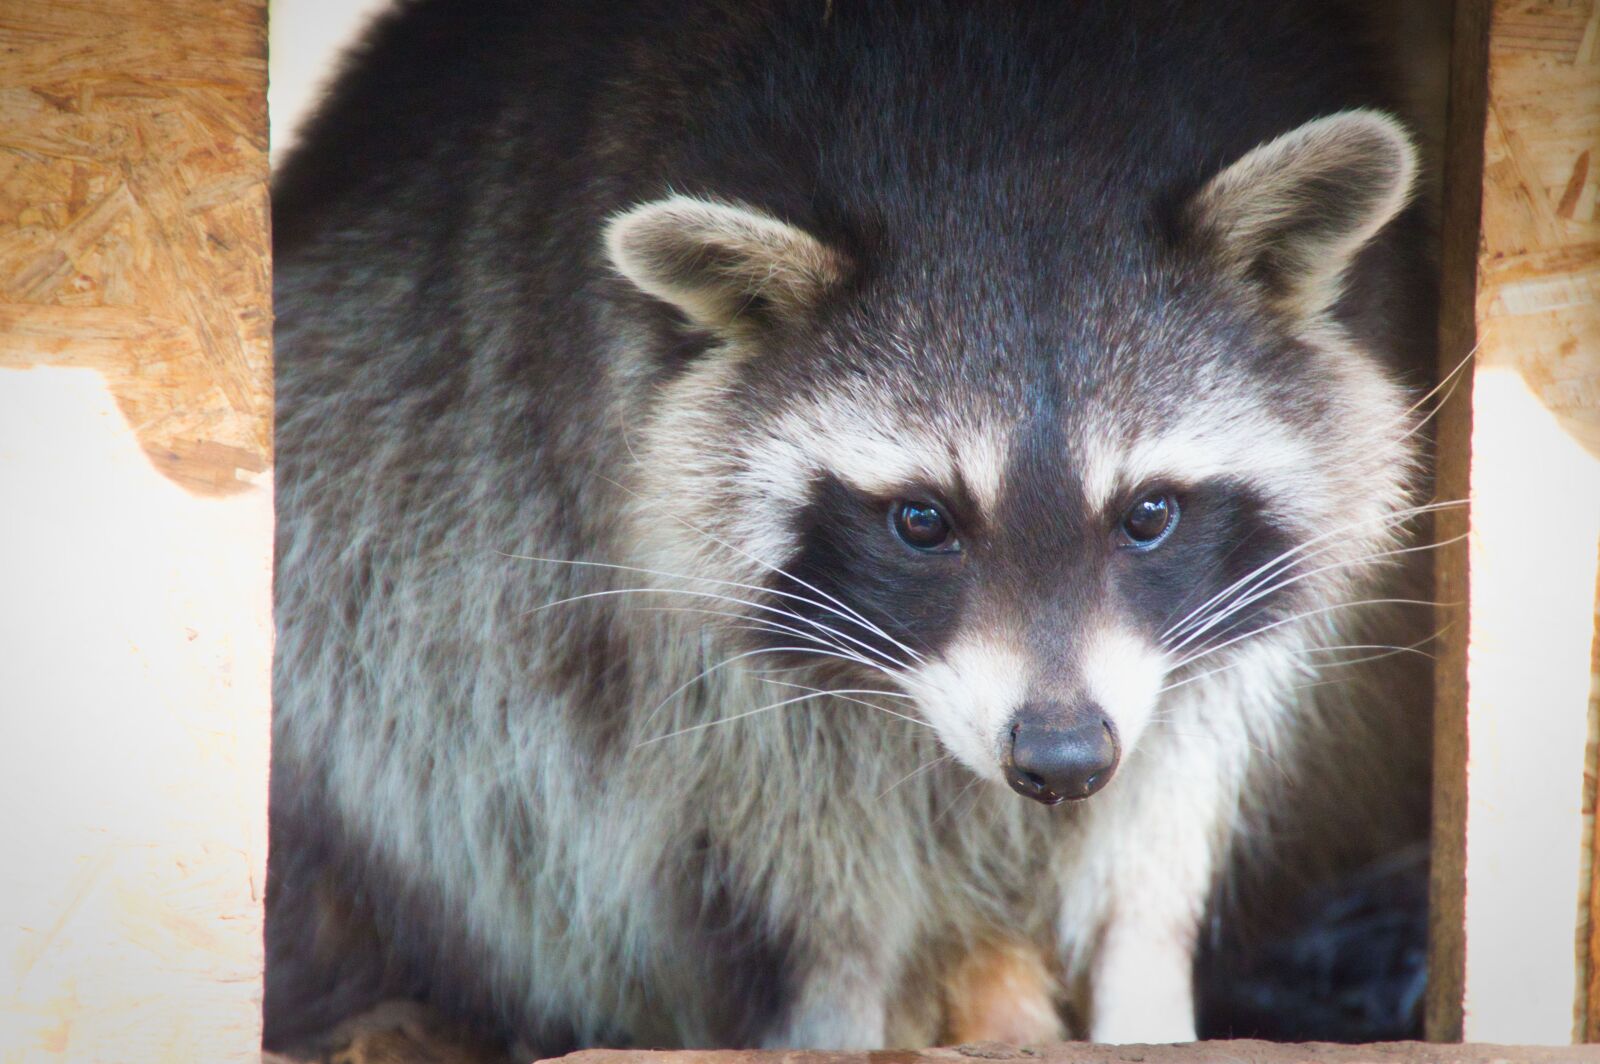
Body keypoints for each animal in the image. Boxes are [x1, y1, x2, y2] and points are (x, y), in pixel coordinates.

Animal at [267, 0, 1436, 1053]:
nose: (1061, 757)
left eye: (1148, 513)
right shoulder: (637, 541)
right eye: (922, 520)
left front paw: (1143, 968)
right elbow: (801, 825)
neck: (1002, 134)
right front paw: (838, 987)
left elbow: (1172, 783)